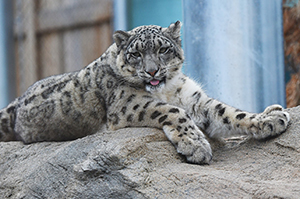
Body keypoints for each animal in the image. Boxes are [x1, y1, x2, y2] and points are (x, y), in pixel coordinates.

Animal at [0, 21, 290, 165]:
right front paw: (196, 146)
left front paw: (271, 118)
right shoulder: (128, 104)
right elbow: (174, 111)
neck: (168, 89)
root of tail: (15, 102)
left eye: (163, 49)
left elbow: (228, 112)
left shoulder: (195, 100)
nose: (152, 71)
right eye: (136, 54)